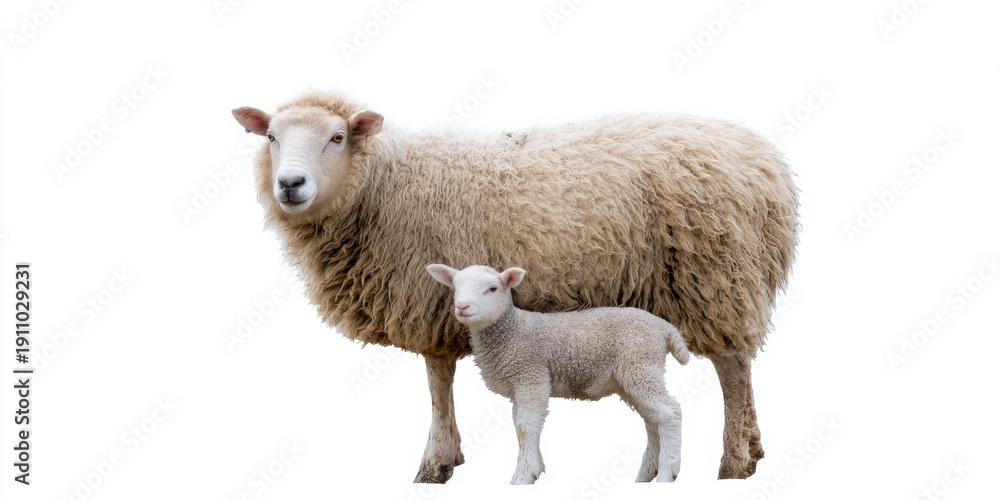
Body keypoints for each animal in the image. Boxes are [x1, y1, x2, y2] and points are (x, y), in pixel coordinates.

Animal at [426, 263, 691, 484]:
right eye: (455, 287)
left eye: (492, 289)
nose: (462, 307)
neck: (511, 331)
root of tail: (665, 328)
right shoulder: (520, 384)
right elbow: (520, 425)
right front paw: (535, 467)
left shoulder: (531, 376)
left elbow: (525, 427)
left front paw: (523, 476)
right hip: (633, 375)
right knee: (652, 420)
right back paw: (646, 474)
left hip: (640, 364)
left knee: (670, 413)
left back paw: (666, 474)